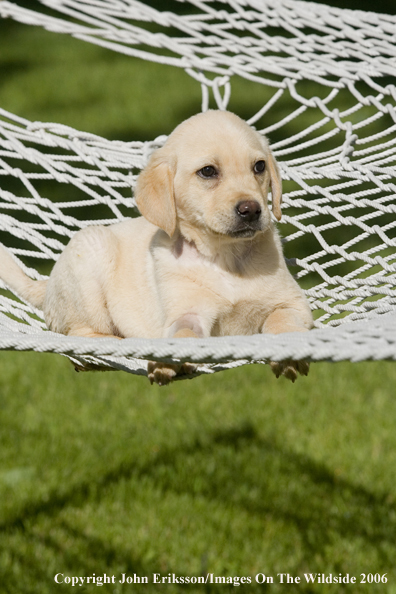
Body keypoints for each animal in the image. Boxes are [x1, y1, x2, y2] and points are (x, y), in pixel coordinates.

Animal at [1, 111, 314, 384]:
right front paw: (168, 360)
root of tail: (48, 284)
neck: (226, 256)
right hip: (90, 256)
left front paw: (288, 355)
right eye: (208, 172)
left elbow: (282, 323)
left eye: (259, 166)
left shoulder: (293, 303)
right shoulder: (186, 312)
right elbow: (183, 335)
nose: (251, 210)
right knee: (78, 335)